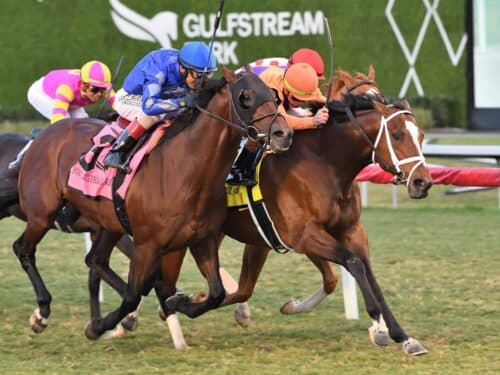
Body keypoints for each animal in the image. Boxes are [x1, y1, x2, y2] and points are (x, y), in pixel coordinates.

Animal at [14, 66, 292, 340]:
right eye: (245, 97)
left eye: (274, 95)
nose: (284, 134)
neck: (186, 170)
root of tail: (46, 133)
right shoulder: (147, 244)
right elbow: (132, 295)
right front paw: (98, 326)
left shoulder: (202, 238)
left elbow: (215, 293)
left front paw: (178, 302)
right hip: (42, 214)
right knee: (23, 249)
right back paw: (42, 313)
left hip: (110, 223)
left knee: (95, 260)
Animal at [162, 90, 432, 356]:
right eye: (397, 135)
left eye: (421, 135)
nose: (422, 183)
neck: (325, 162)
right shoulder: (305, 235)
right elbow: (354, 264)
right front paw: (378, 328)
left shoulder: (347, 231)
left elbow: (356, 276)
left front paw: (403, 337)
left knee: (240, 288)